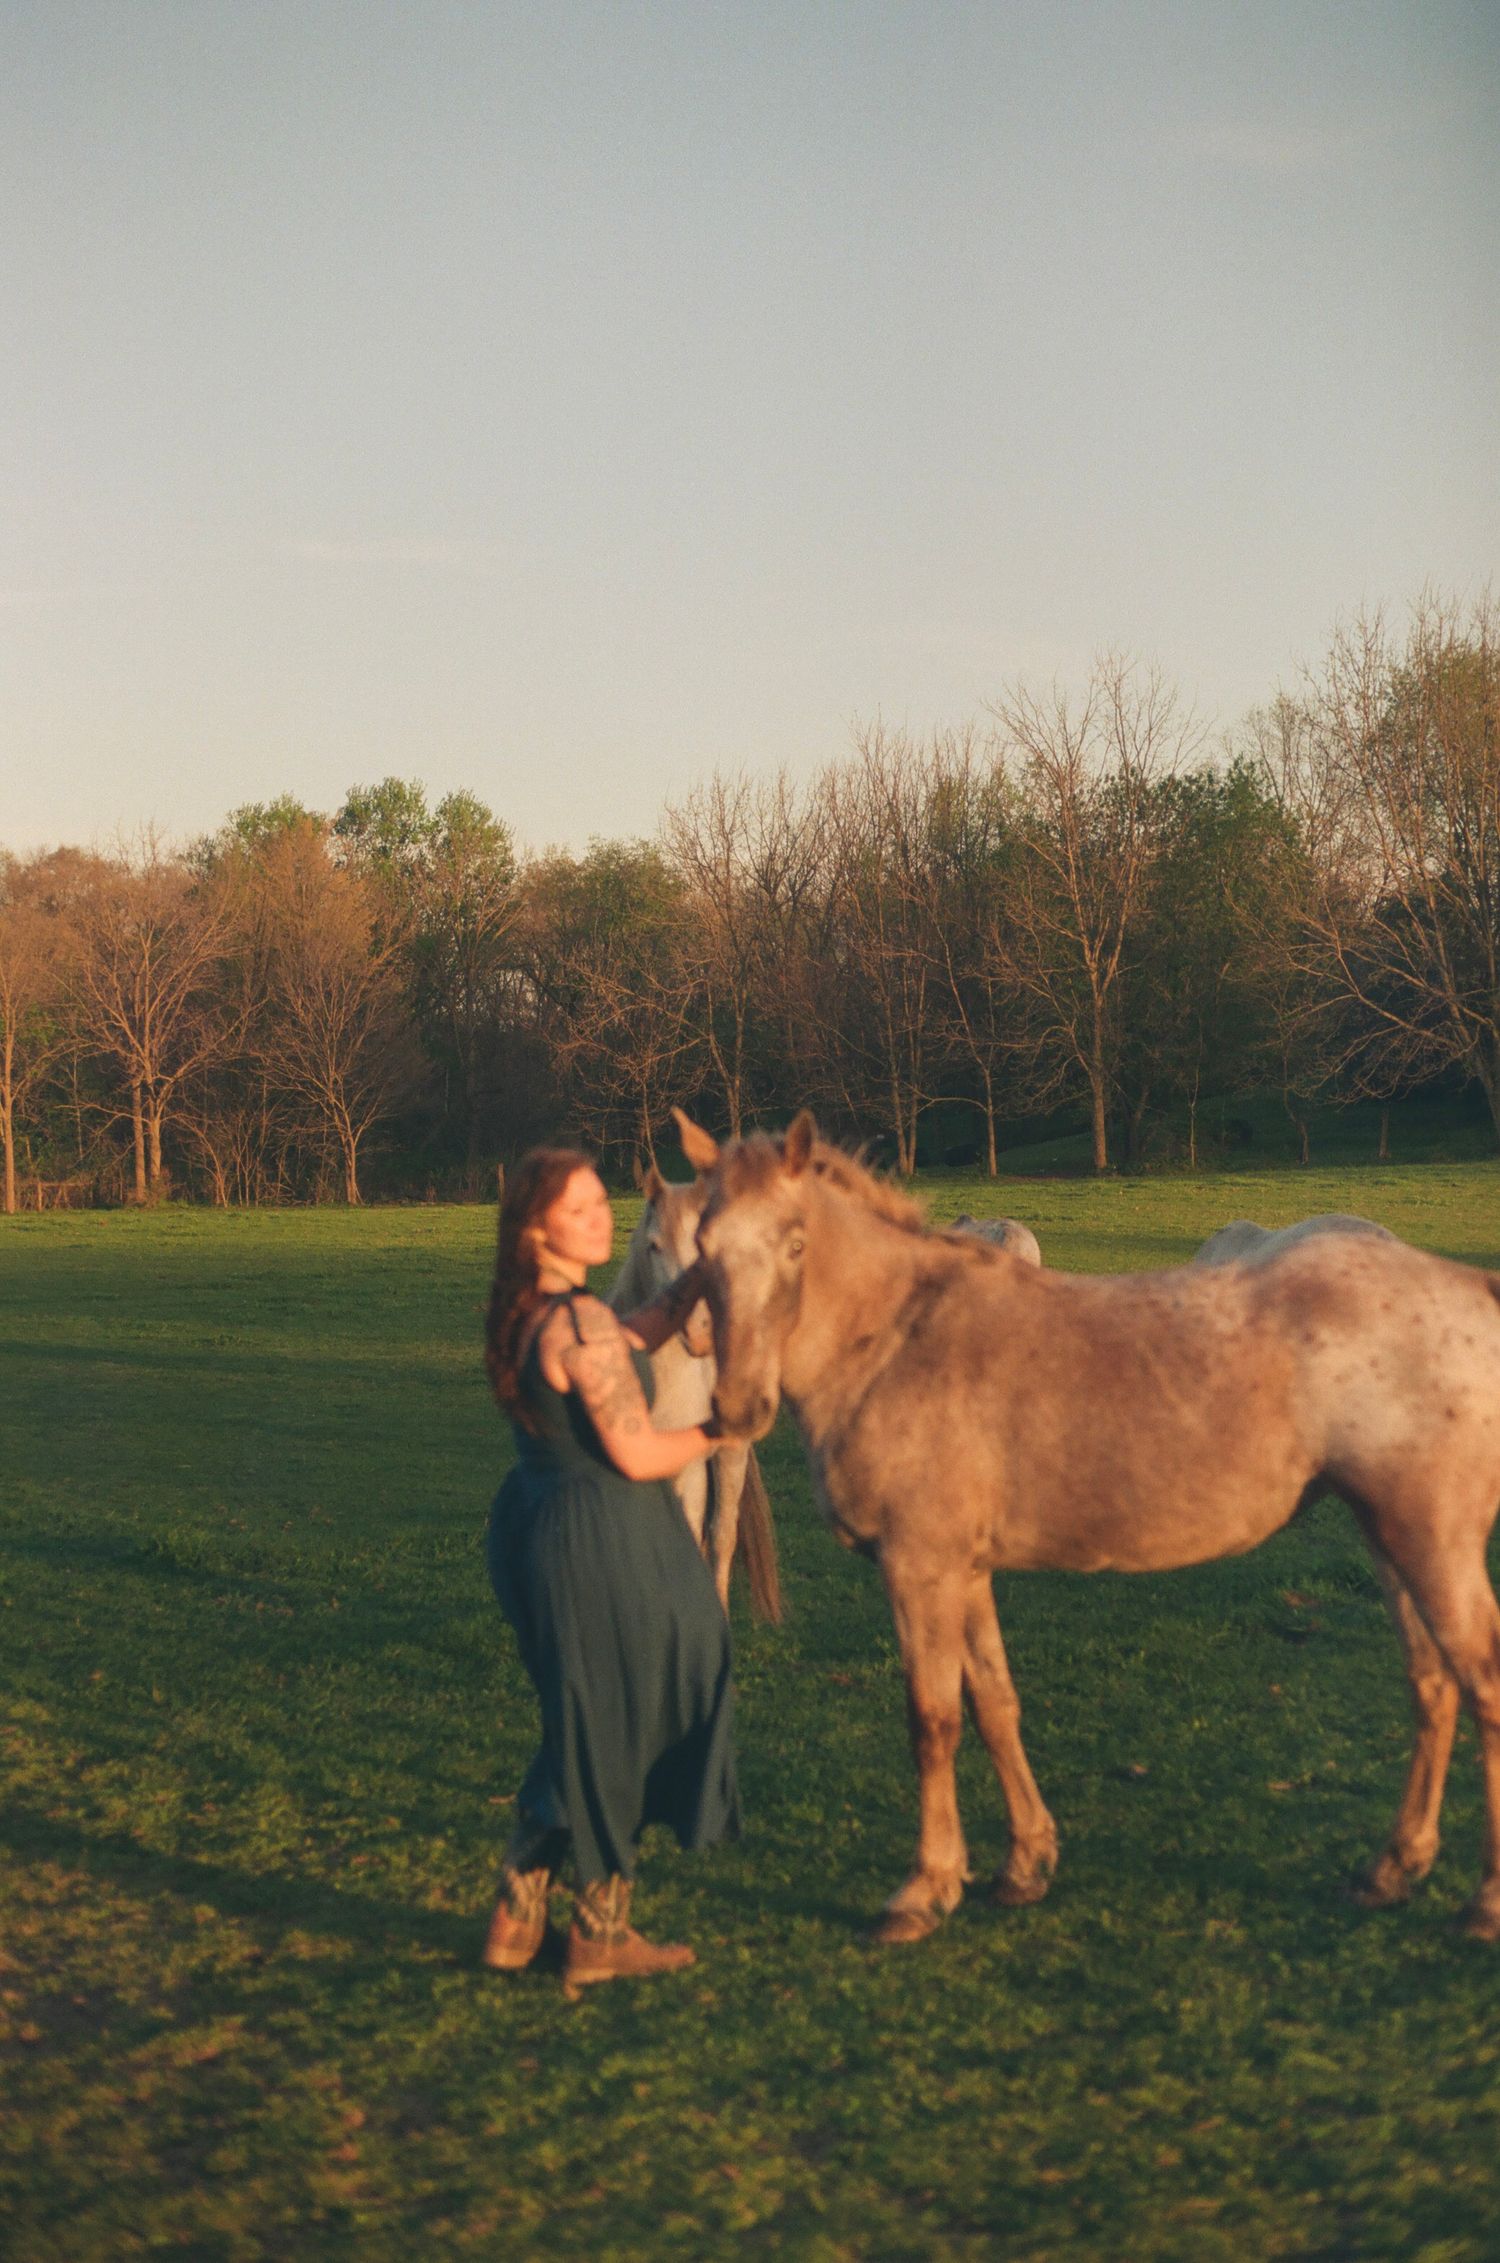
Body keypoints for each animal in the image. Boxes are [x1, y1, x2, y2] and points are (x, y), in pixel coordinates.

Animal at [677, 1105, 1500, 1944]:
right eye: (703, 1246)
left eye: (796, 1242)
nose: (737, 1407)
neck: (896, 1339)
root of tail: (1471, 1287)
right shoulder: (965, 1570)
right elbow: (994, 1703)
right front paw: (1025, 1863)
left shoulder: (919, 1566)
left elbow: (933, 1719)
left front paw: (925, 1887)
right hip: (1389, 1538)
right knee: (1433, 1683)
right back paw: (1391, 1869)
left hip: (1432, 1541)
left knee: (1482, 1683)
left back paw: (1485, 1901)